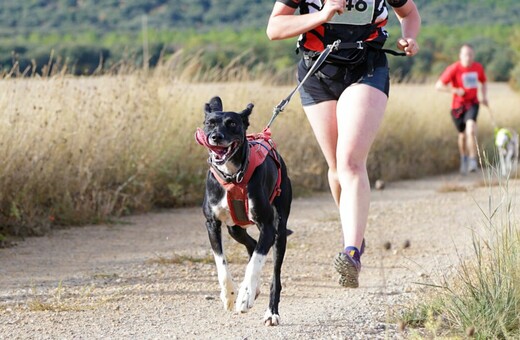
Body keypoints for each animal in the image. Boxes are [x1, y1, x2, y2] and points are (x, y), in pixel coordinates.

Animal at [196, 97, 292, 326]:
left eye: (232, 123)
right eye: (210, 123)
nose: (216, 137)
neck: (232, 177)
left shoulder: (267, 227)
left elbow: (256, 262)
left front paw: (245, 295)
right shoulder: (212, 224)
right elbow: (221, 262)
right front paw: (230, 295)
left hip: (280, 232)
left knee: (274, 273)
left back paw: (271, 312)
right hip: (235, 229)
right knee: (251, 244)